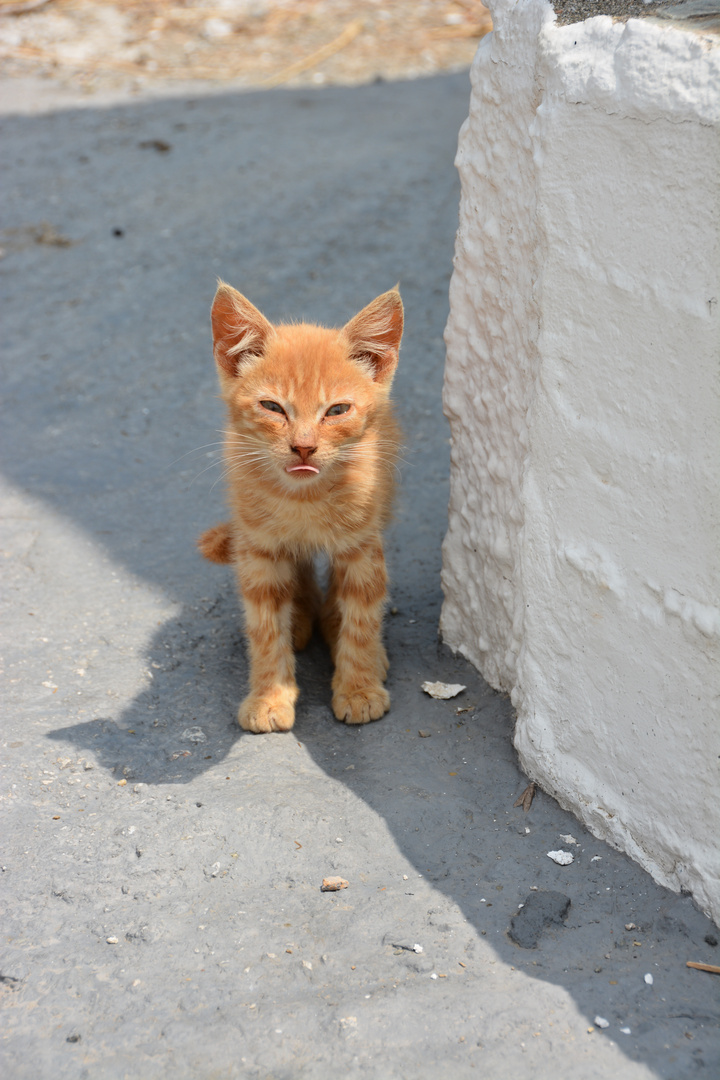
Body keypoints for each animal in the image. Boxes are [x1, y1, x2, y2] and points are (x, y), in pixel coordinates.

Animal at [199, 278, 403, 734]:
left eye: (337, 410)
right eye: (273, 407)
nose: (304, 447)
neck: (303, 499)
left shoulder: (361, 544)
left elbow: (362, 617)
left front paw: (358, 687)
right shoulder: (258, 549)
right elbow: (264, 627)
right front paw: (269, 695)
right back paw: (301, 616)